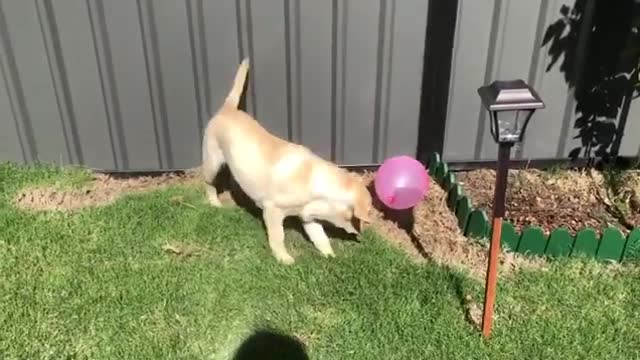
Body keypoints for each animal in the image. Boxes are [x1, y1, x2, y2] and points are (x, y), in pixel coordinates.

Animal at [200, 57, 370, 262]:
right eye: (358, 218)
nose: (361, 235)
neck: (314, 182)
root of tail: (229, 108)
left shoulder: (308, 218)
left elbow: (320, 237)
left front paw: (330, 256)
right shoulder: (272, 211)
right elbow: (277, 236)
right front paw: (284, 258)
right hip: (212, 162)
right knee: (208, 183)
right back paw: (214, 202)